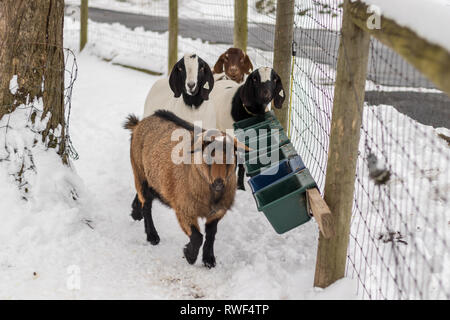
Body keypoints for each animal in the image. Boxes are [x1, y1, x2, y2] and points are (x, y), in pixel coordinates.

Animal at [124, 110, 246, 268]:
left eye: (231, 156)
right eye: (207, 155)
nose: (219, 182)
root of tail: (139, 123)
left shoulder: (218, 212)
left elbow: (211, 234)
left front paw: (209, 260)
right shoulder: (184, 209)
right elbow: (197, 236)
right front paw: (190, 255)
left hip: (152, 178)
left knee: (145, 197)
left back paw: (135, 213)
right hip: (140, 171)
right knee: (147, 205)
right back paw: (152, 236)